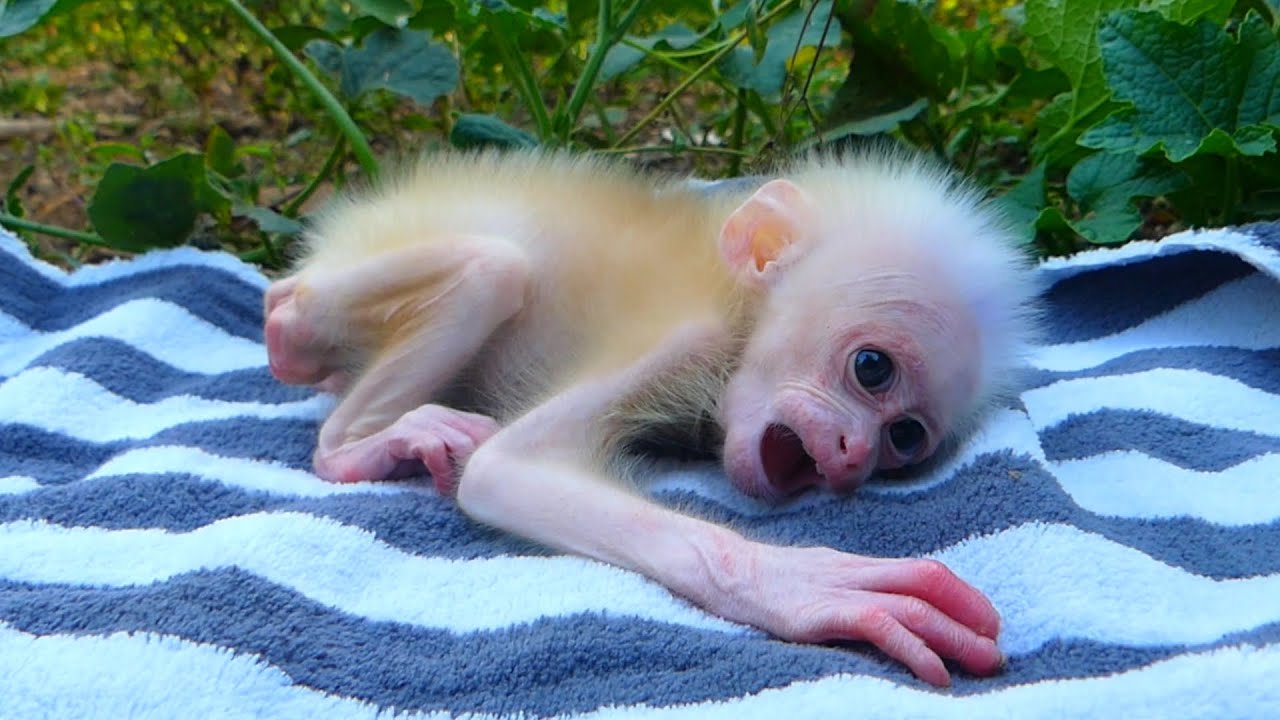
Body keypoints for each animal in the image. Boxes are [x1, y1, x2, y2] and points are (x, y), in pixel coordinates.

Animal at [263, 149, 1039, 687]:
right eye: (871, 368)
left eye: (904, 437)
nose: (852, 453)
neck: (735, 303)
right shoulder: (686, 336)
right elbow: (503, 471)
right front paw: (807, 584)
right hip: (357, 284)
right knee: (486, 270)